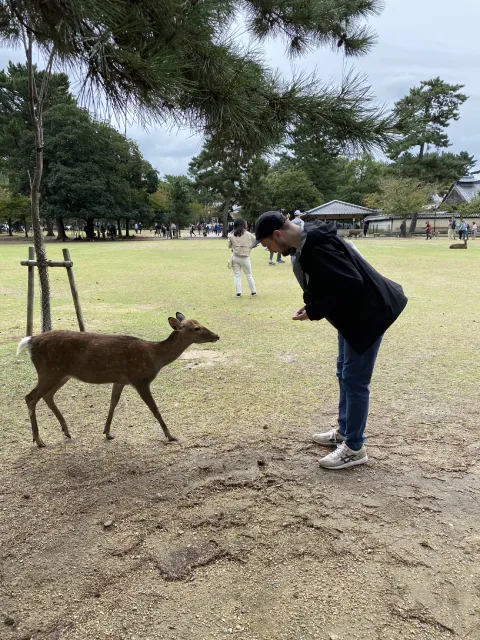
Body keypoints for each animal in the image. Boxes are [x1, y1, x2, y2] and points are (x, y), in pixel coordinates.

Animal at [16, 312, 219, 448]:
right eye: (196, 328)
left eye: (200, 323)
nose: (216, 336)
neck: (155, 357)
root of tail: (31, 341)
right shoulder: (140, 379)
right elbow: (154, 409)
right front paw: (171, 436)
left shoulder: (120, 380)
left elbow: (113, 403)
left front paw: (107, 433)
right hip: (49, 371)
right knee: (30, 397)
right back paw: (39, 440)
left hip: (61, 374)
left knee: (46, 396)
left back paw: (66, 431)